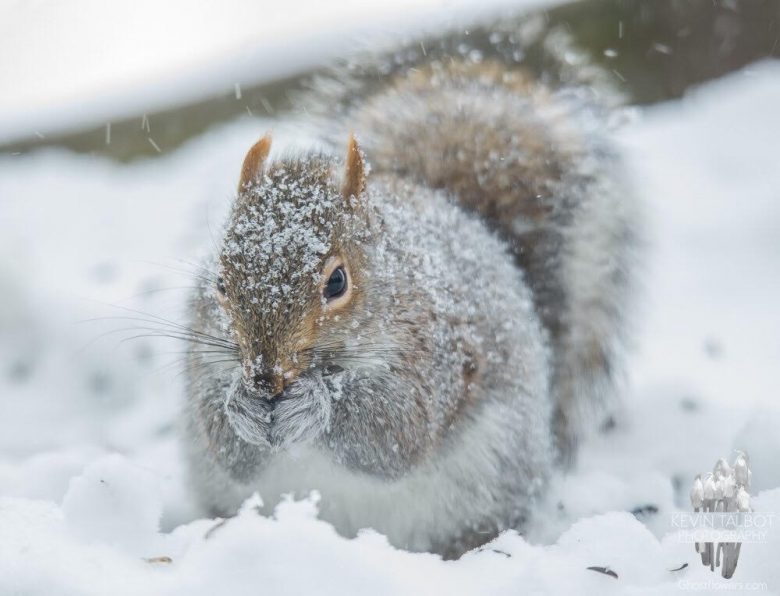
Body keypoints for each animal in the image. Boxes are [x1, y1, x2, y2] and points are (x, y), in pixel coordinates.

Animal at [183, 19, 638, 558]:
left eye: (337, 281)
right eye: (220, 282)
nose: (264, 376)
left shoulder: (438, 350)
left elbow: (397, 432)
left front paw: (317, 404)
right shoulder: (201, 353)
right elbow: (225, 442)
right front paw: (238, 405)